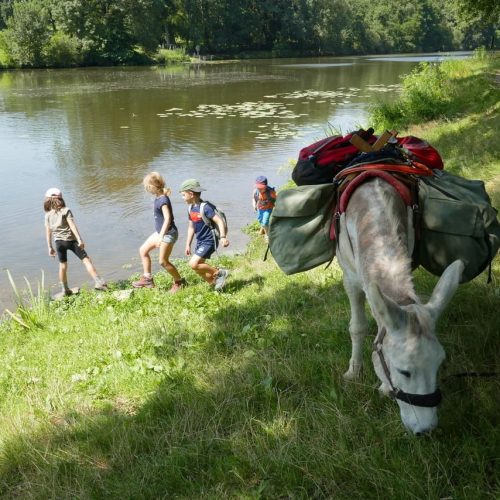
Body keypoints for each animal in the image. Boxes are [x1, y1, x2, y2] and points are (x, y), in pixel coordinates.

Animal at [336, 172, 463, 434]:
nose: (426, 430)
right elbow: (357, 327)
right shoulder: (350, 279)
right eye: (404, 371)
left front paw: (384, 387)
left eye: (439, 365)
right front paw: (353, 372)